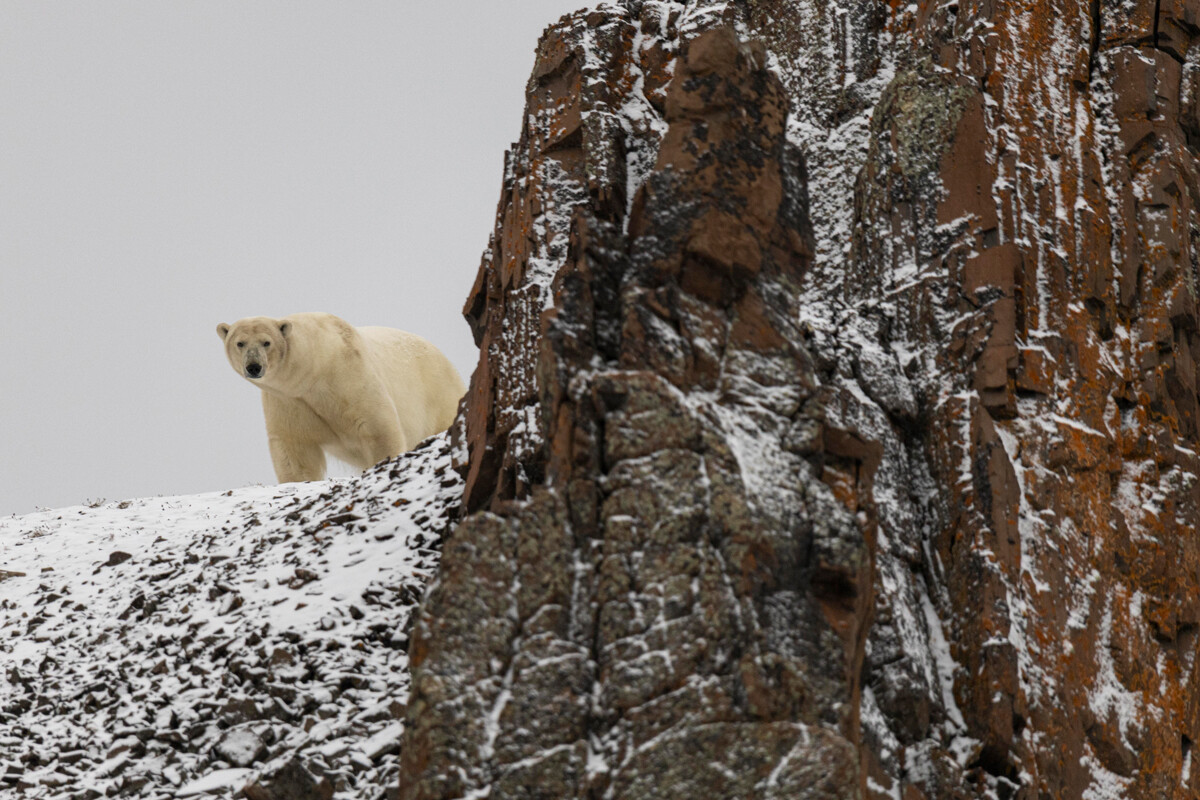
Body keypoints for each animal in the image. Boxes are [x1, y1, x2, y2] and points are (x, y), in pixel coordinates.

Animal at [218, 314, 465, 482]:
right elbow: (294, 449)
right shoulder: (289, 401)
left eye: (266, 342)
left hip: (439, 393)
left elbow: (378, 427)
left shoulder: (350, 375)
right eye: (240, 343)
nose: (253, 366)